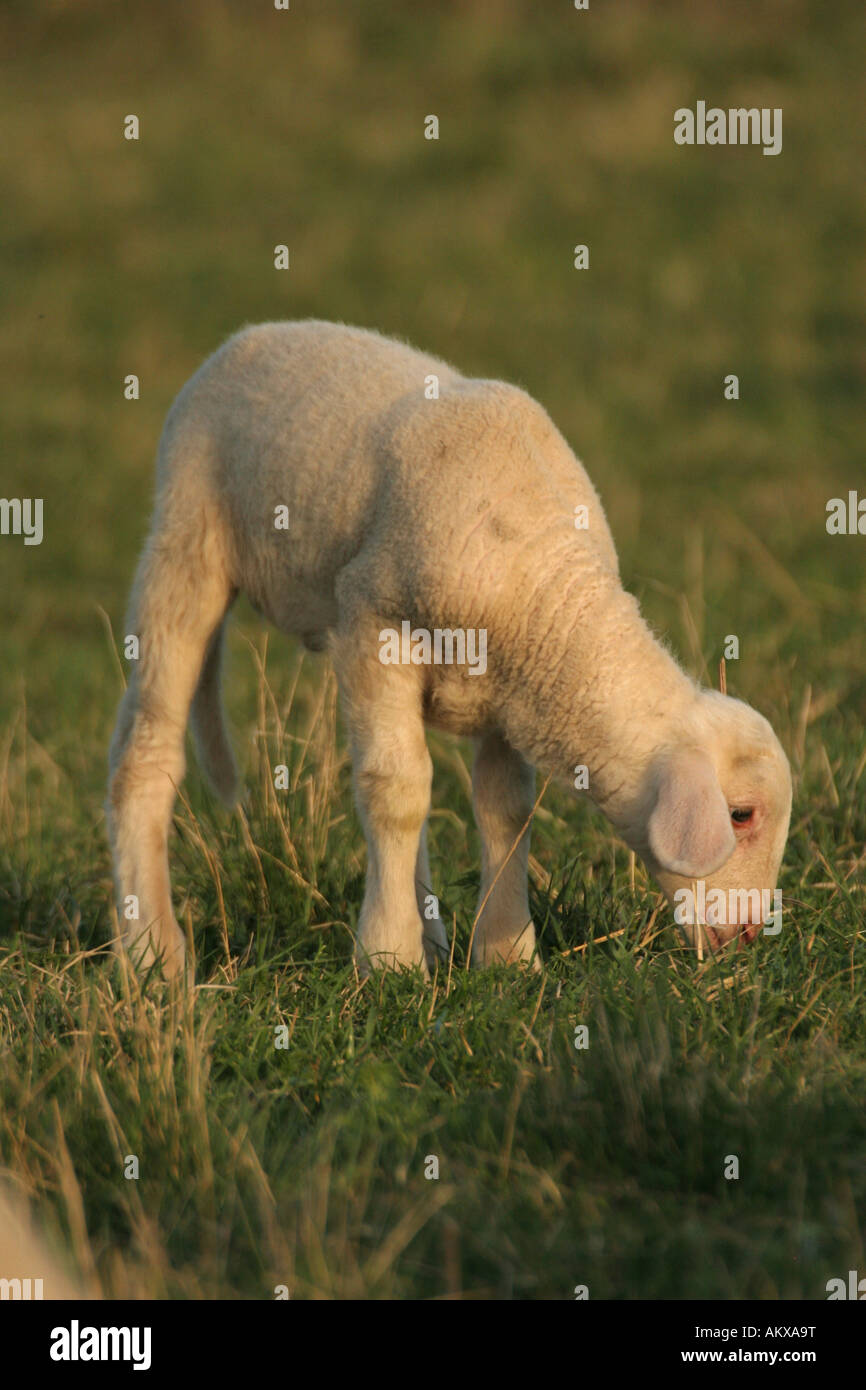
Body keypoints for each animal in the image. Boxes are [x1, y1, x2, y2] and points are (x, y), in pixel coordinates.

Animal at [107, 321, 795, 984]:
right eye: (741, 815)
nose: (749, 935)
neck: (544, 576)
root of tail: (251, 336)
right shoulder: (375, 626)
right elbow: (396, 792)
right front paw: (388, 961)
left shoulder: (511, 693)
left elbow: (503, 809)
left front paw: (507, 955)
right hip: (185, 546)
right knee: (147, 750)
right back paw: (153, 953)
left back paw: (430, 935)